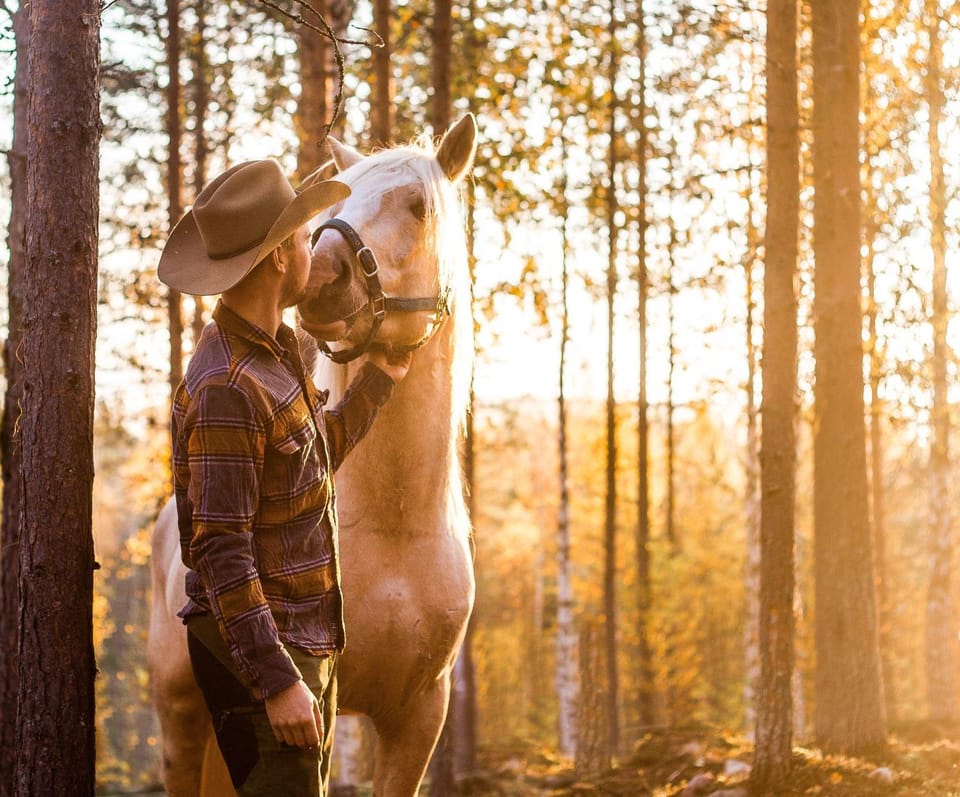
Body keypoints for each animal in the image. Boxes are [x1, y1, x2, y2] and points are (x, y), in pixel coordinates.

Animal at [148, 114, 478, 796]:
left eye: (417, 206)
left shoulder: (419, 717)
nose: (325, 279)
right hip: (181, 721)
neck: (394, 525)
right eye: (340, 201)